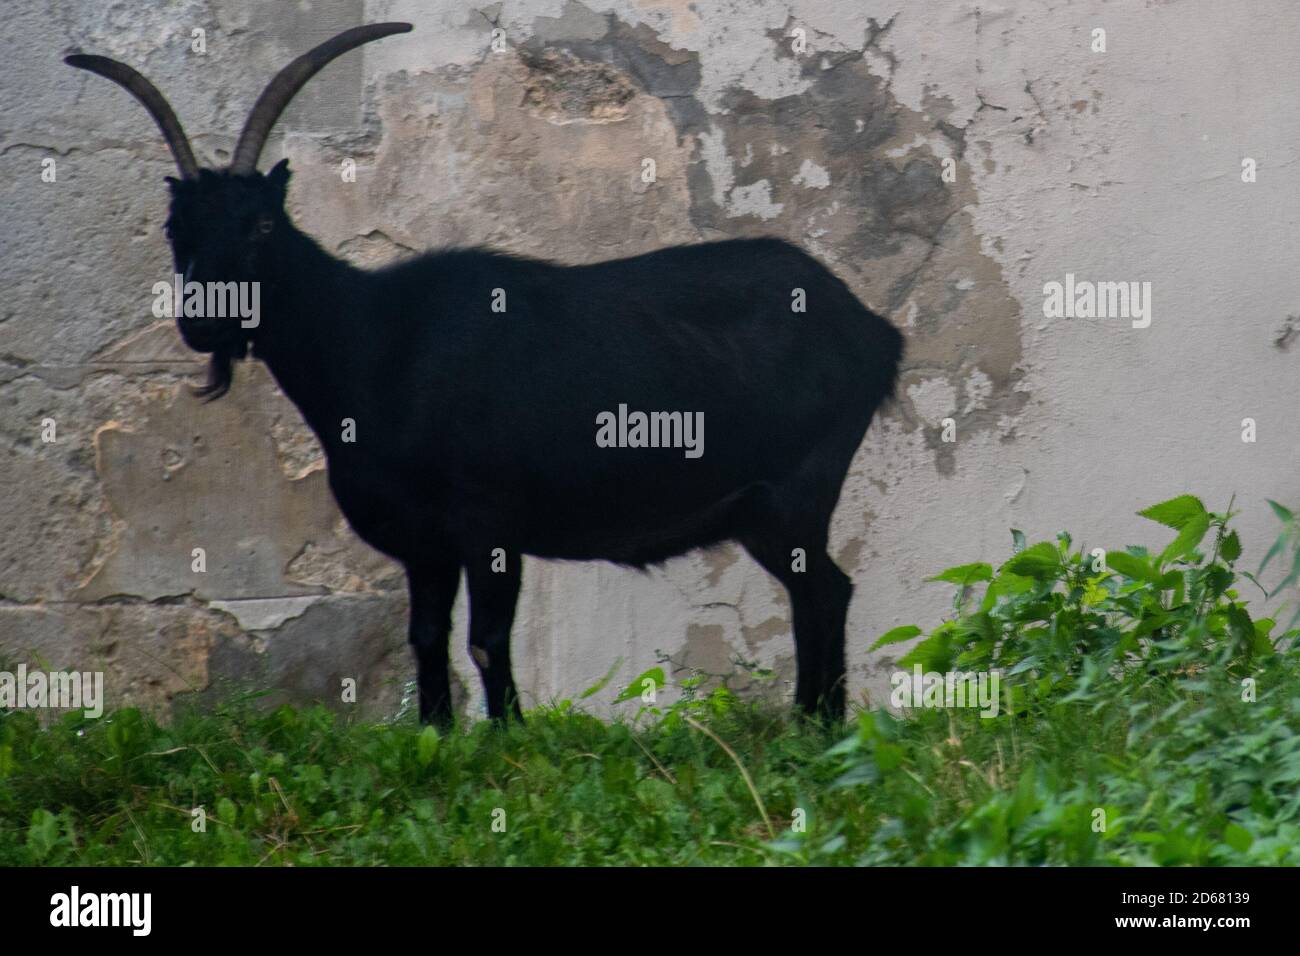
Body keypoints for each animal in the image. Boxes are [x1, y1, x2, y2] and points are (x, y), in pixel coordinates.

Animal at [68, 22, 904, 723]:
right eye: (177, 229)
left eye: (263, 224)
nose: (205, 321)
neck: (374, 343)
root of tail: (871, 329)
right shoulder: (425, 544)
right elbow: (426, 639)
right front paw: (437, 739)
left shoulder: (489, 523)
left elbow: (484, 641)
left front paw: (510, 740)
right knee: (816, 592)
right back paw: (814, 723)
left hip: (795, 490)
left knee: (826, 590)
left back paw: (818, 727)